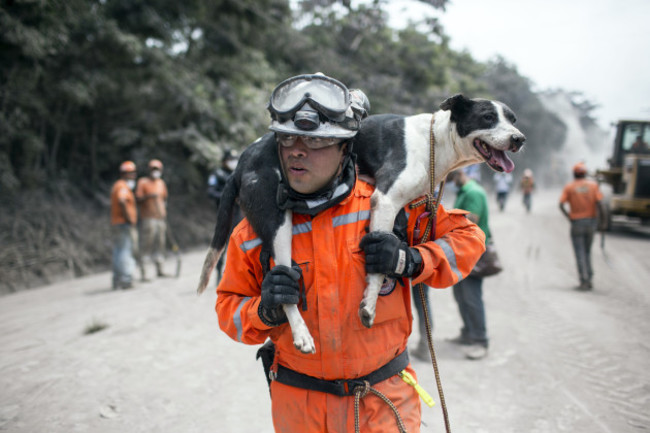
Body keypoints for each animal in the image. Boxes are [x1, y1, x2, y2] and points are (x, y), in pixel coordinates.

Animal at [195, 93, 524, 352]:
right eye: (487, 117)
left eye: (512, 119)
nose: (519, 139)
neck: (436, 142)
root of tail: (241, 162)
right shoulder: (385, 199)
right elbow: (376, 272)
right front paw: (369, 305)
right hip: (278, 224)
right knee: (283, 281)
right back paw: (301, 334)